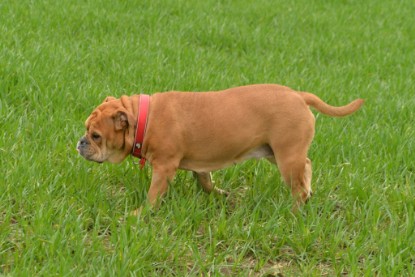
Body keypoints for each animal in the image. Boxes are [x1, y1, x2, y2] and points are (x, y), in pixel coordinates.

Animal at [78, 83, 364, 210]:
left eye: (96, 135)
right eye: (86, 130)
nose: (80, 142)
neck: (142, 119)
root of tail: (299, 95)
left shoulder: (164, 167)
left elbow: (154, 193)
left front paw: (140, 214)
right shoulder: (199, 166)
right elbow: (205, 181)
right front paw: (221, 194)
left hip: (286, 156)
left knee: (298, 185)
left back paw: (294, 209)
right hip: (276, 152)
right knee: (307, 165)